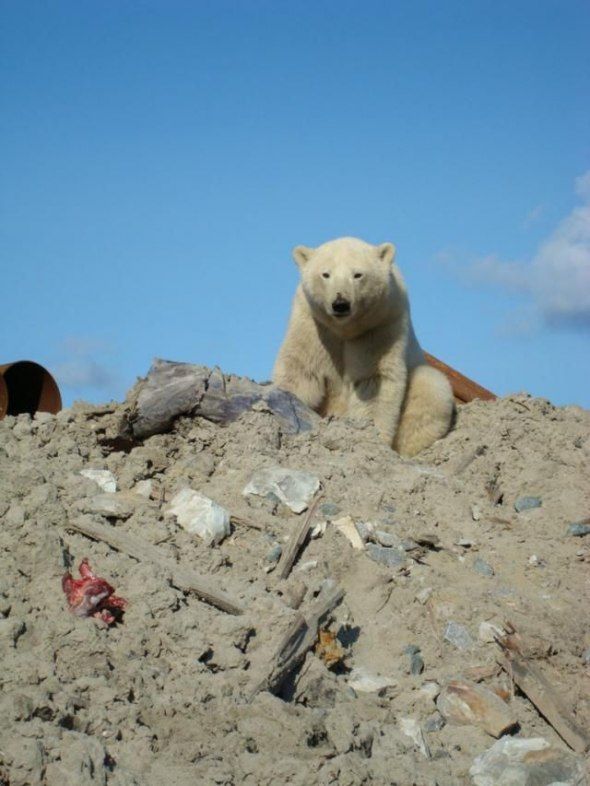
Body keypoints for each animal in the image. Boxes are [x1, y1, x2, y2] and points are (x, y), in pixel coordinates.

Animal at [276, 236, 456, 456]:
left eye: (358, 274)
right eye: (326, 274)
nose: (340, 303)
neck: (344, 329)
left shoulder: (381, 325)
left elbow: (373, 380)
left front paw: (370, 436)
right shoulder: (312, 323)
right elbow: (301, 369)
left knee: (430, 385)